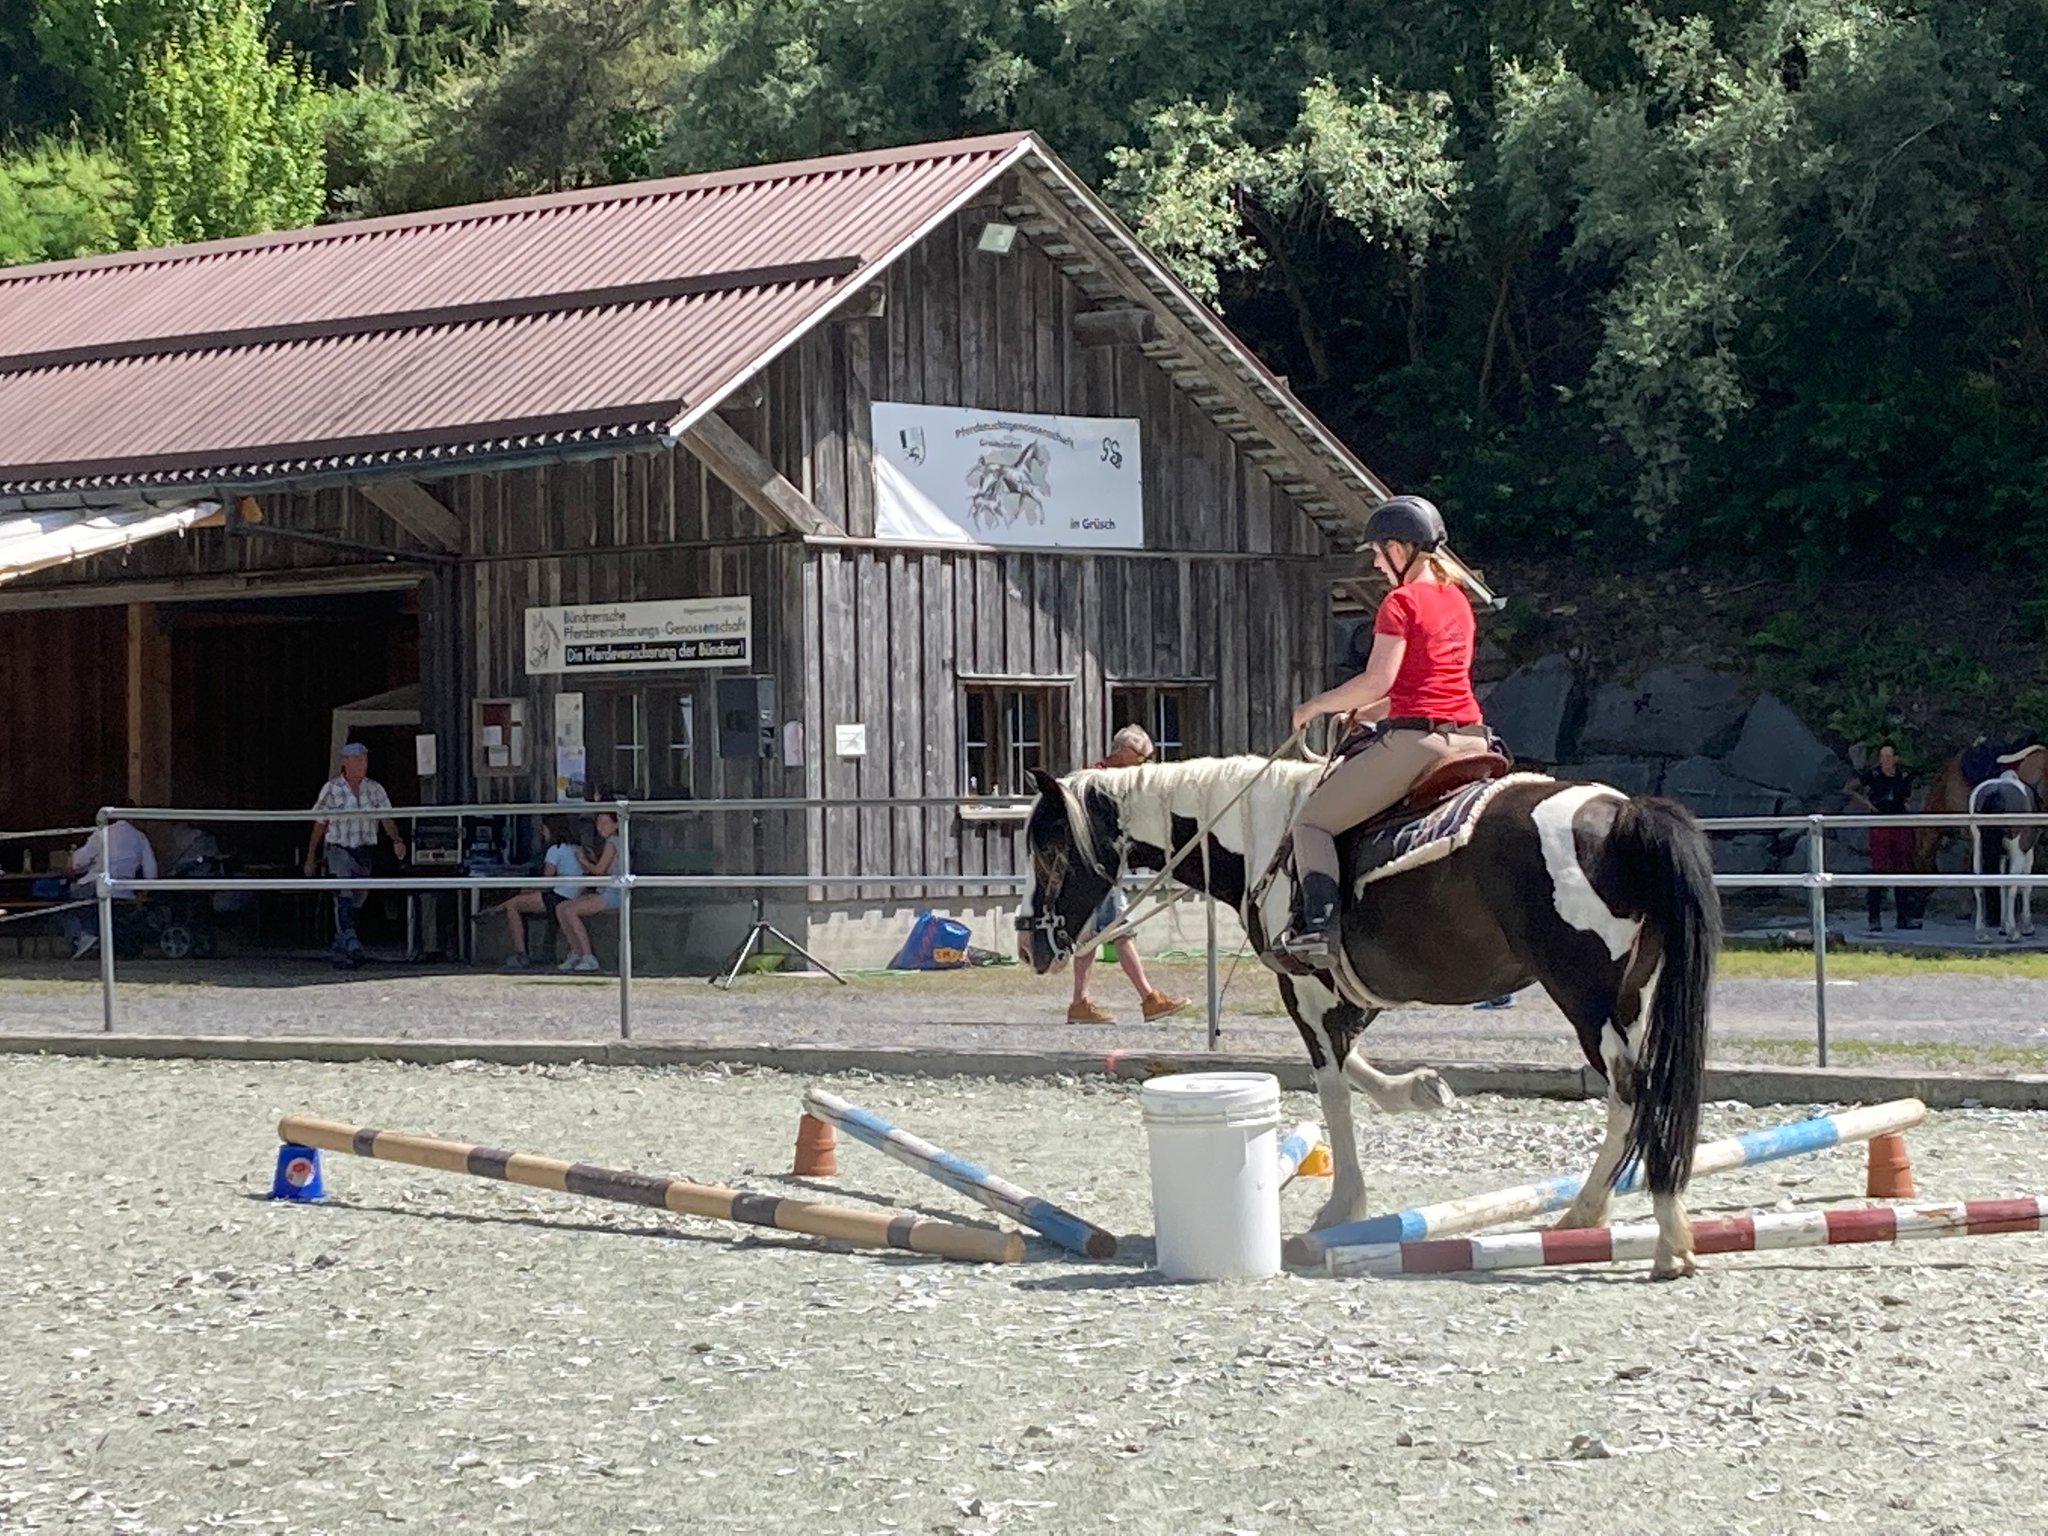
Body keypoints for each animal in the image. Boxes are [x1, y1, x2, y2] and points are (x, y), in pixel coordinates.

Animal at [1017, 754, 1720, 1280]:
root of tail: (1623, 812)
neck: (1262, 831)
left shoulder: (1302, 986)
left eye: (1047, 852)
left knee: (1634, 1091)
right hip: (1627, 998)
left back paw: (1659, 1236)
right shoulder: (1352, 992)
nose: (1028, 945)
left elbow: (1330, 1084)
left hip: (1585, 996)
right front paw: (1418, 1090)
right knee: (1643, 1094)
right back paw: (1592, 1214)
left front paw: (1341, 1205)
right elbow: (1353, 1064)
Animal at [1970, 769, 2040, 941]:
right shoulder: (2027, 853)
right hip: (2017, 852)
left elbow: (2001, 885)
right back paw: (2013, 932)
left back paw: (1981, 933)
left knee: (1979, 885)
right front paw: (2026, 926)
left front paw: (2003, 926)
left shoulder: (2001, 856)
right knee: (2013, 884)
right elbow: (2023, 885)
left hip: (1978, 848)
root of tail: (1996, 792)